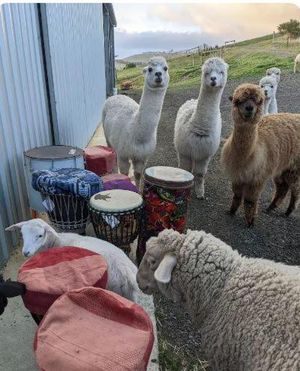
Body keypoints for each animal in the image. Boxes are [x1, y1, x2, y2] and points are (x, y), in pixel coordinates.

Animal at [6, 219, 141, 304]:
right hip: (128, 294)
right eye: (22, 234)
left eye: (40, 235)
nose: (26, 252)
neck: (56, 242)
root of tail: (126, 271)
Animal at [102, 56, 169, 189]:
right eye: (150, 69)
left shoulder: (142, 157)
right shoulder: (123, 154)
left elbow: (138, 175)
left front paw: (138, 190)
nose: (158, 74)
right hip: (108, 137)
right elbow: (124, 174)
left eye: (165, 68)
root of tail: (115, 96)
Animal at [173, 56, 227, 199]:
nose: (213, 79)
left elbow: (200, 174)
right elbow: (185, 169)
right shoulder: (185, 152)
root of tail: (193, 100)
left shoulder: (204, 155)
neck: (200, 128)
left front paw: (200, 192)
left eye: (221, 72)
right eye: (206, 72)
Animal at [220, 84, 300, 227]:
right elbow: (237, 195)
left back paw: (288, 211)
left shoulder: (257, 178)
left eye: (258, 101)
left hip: (294, 167)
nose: (249, 108)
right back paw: (270, 208)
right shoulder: (238, 175)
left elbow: (250, 200)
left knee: (295, 190)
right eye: (237, 101)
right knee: (282, 187)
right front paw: (231, 211)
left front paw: (250, 222)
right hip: (282, 167)